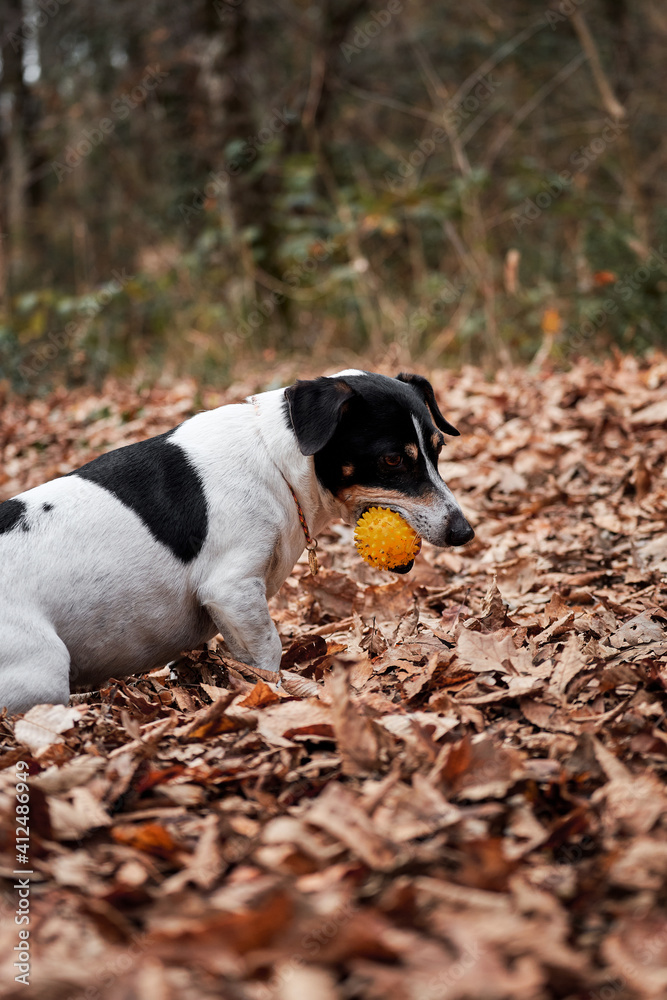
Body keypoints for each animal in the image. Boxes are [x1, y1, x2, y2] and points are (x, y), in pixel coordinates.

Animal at [0, 372, 474, 716]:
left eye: (438, 449)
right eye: (392, 459)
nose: (464, 532)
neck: (275, 460)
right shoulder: (231, 589)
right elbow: (268, 652)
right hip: (42, 670)